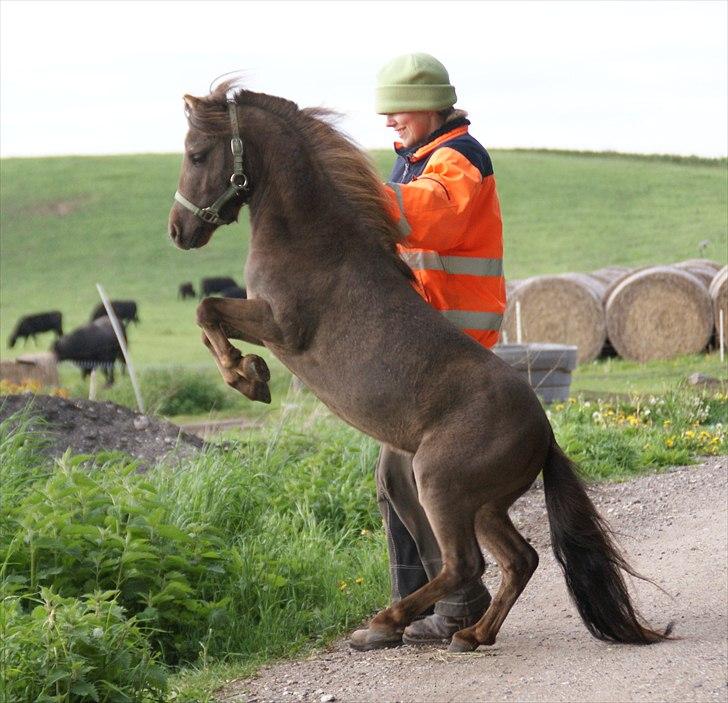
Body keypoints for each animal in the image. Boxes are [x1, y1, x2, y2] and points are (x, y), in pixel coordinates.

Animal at [168, 82, 668, 656]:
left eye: (196, 154)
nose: (178, 231)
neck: (311, 238)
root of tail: (544, 433)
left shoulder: (281, 327)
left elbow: (206, 309)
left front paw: (248, 377)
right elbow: (206, 315)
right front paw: (250, 373)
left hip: (440, 485)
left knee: (466, 563)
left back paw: (392, 621)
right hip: (482, 505)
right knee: (519, 559)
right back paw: (471, 633)